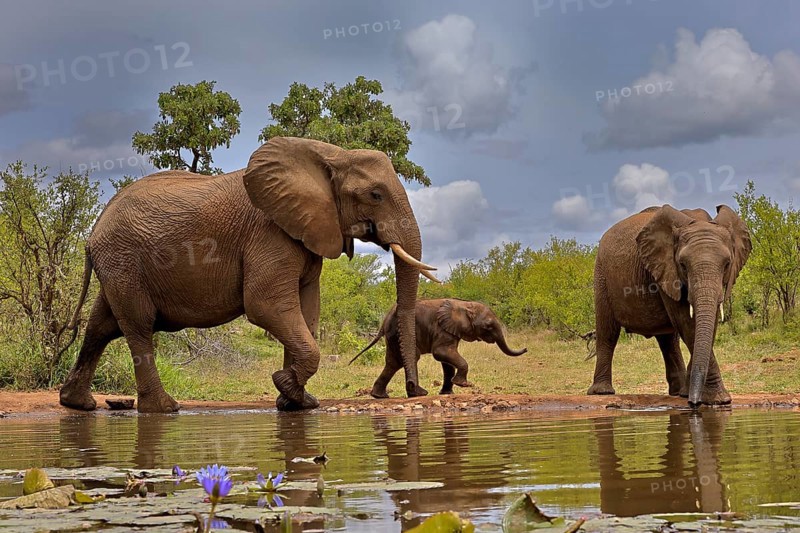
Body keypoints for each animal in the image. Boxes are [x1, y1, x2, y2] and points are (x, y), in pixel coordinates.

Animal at [59, 136, 438, 413]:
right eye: (375, 195)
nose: (416, 391)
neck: (330, 155)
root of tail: (93, 233)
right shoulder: (269, 233)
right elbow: (267, 306)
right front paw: (285, 384)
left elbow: (306, 311)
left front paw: (296, 402)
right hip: (124, 261)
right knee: (137, 325)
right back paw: (164, 409)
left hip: (119, 265)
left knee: (102, 325)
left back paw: (77, 404)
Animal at [349, 299, 527, 397]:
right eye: (488, 326)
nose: (525, 349)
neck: (463, 304)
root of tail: (384, 320)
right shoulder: (442, 328)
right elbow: (441, 353)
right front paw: (464, 385)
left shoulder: (451, 330)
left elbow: (446, 362)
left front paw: (448, 393)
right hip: (398, 334)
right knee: (409, 358)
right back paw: (419, 393)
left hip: (393, 336)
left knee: (393, 363)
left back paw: (380, 396)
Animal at [588, 204, 751, 407]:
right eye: (682, 265)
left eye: (727, 264)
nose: (694, 404)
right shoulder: (666, 271)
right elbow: (687, 323)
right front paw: (718, 400)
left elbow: (704, 325)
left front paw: (704, 397)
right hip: (601, 274)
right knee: (607, 332)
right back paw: (602, 392)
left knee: (668, 341)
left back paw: (678, 392)